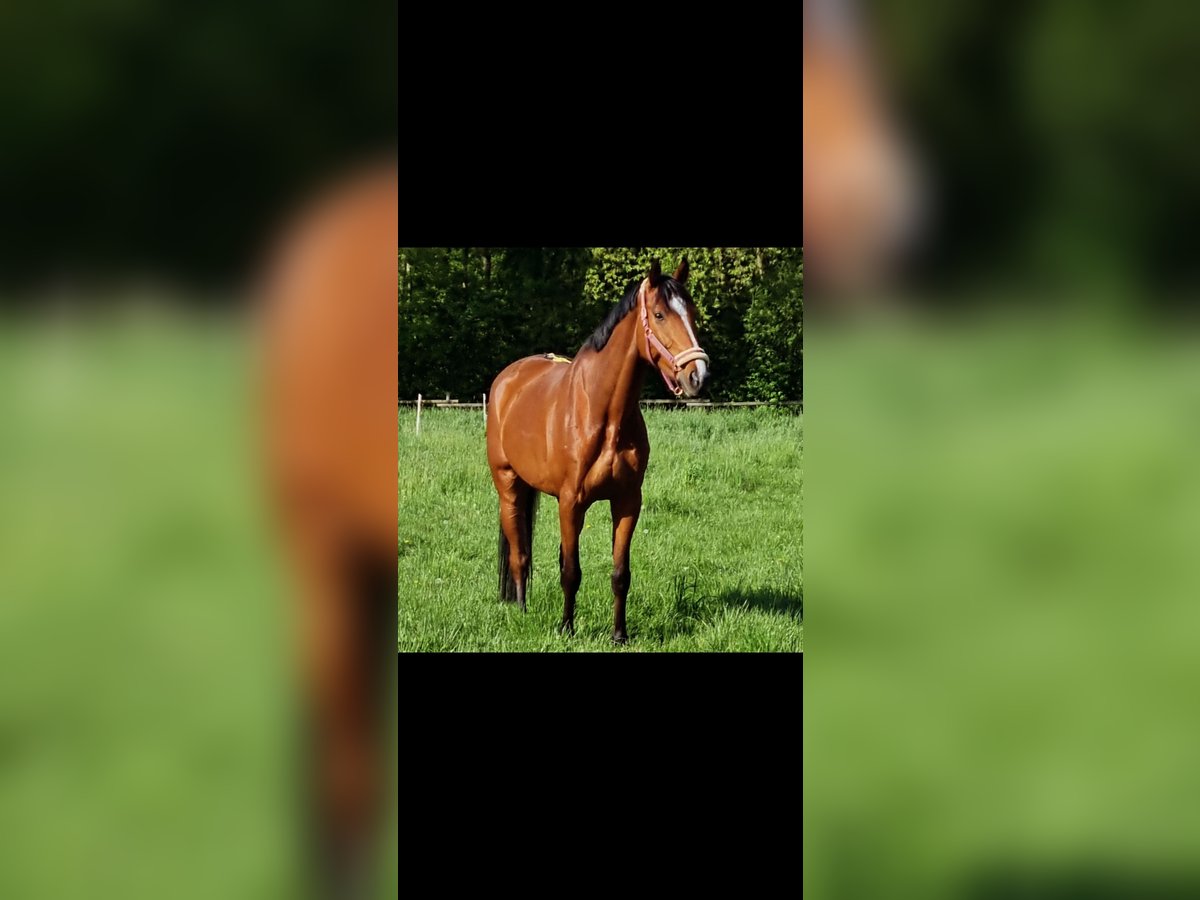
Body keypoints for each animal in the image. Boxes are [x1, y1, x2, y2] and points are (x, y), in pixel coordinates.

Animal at [484, 256, 705, 643]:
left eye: (692, 313)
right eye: (660, 315)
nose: (698, 375)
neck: (604, 414)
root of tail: (508, 378)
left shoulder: (627, 502)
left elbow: (620, 574)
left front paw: (619, 634)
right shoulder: (572, 502)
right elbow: (571, 571)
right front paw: (566, 628)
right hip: (509, 487)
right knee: (519, 553)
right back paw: (522, 609)